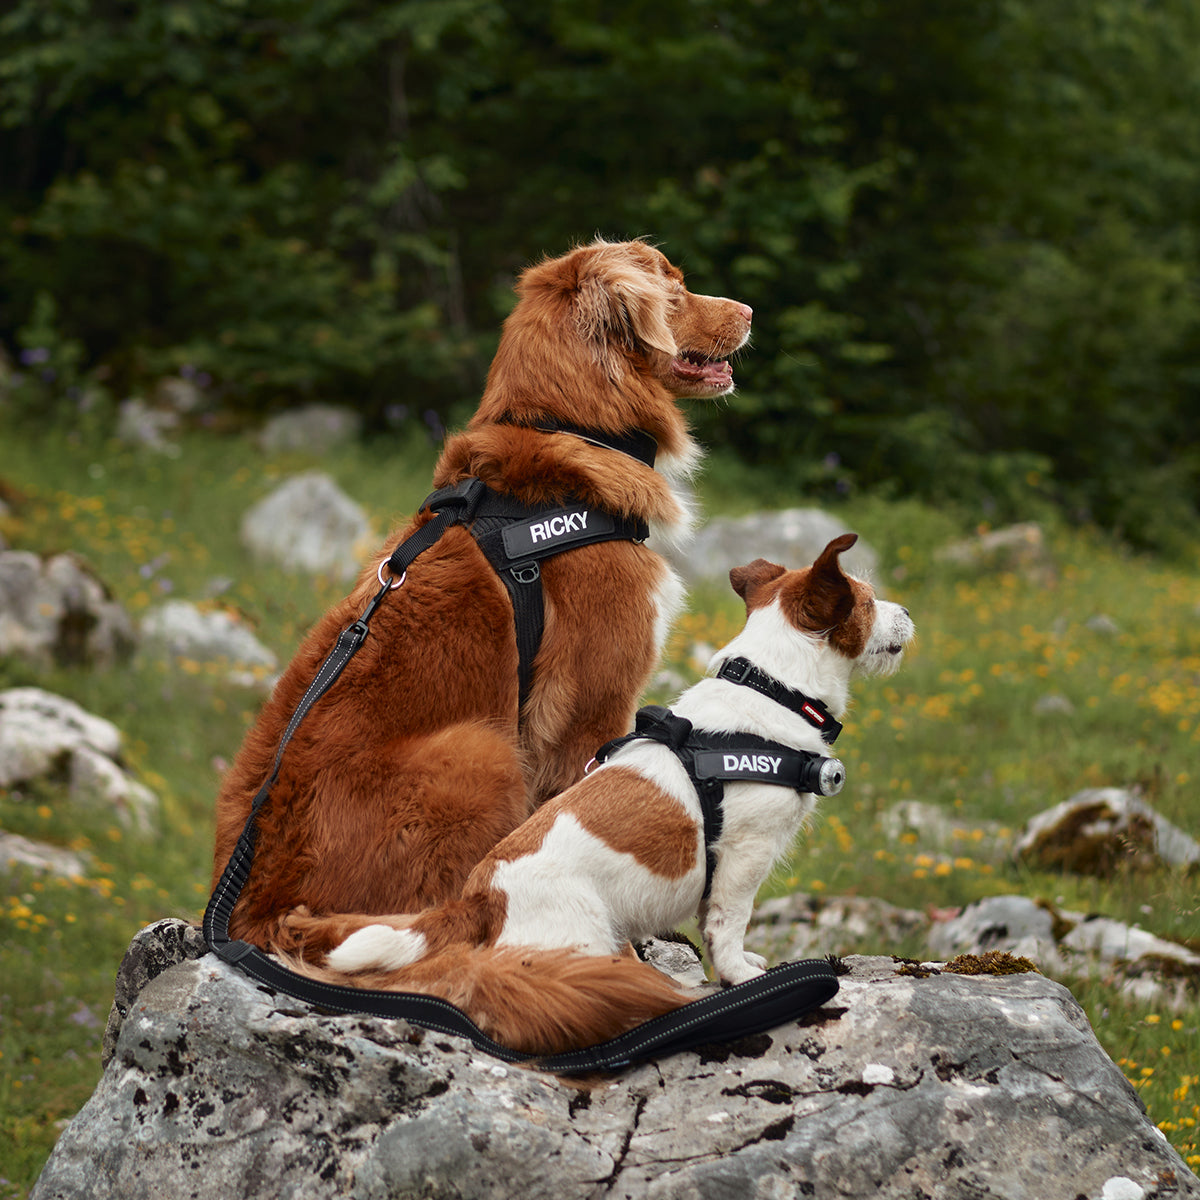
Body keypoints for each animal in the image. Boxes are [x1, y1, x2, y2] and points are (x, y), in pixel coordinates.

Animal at [208, 238, 748, 960]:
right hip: (481, 751)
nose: (749, 310)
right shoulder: (594, 705)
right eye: (679, 291)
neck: (567, 430)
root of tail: (253, 913)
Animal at [290, 535, 907, 1051]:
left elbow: (711, 925)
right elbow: (728, 923)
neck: (772, 686)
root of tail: (479, 899)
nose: (907, 614)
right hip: (581, 938)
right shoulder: (744, 856)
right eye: (867, 600)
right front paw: (741, 976)